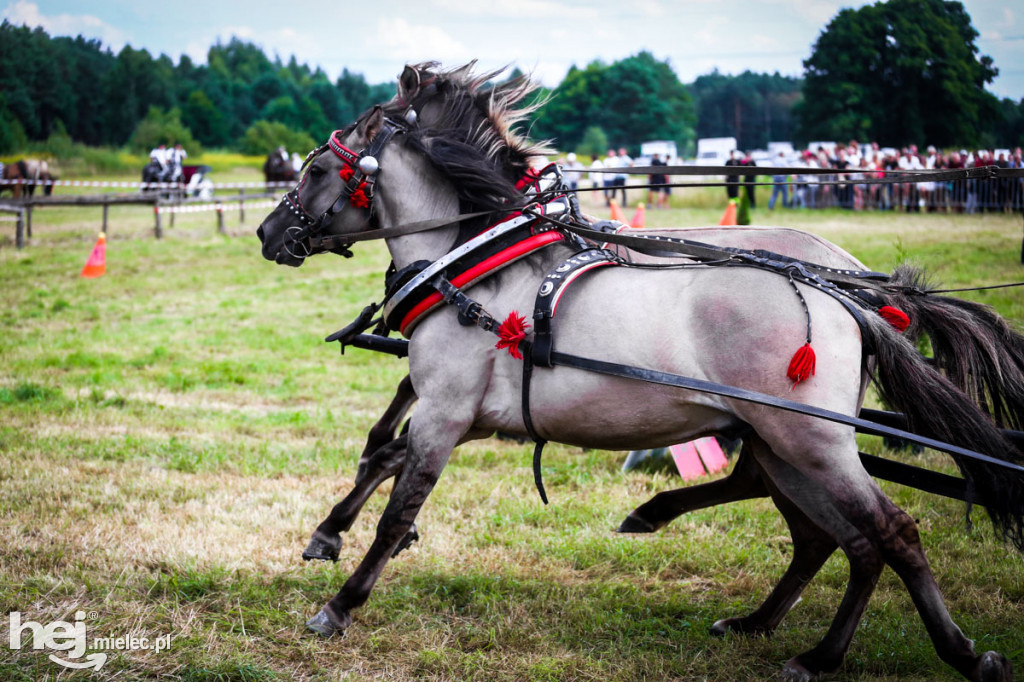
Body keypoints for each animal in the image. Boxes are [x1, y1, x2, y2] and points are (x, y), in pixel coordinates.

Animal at [258, 61, 1024, 675]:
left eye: (317, 171)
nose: (268, 232)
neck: (476, 270)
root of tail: (844, 297)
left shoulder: (446, 413)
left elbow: (398, 502)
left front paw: (340, 603)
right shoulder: (475, 414)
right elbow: (385, 456)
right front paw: (331, 534)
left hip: (811, 440)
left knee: (889, 533)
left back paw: (939, 652)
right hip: (786, 443)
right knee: (836, 539)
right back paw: (781, 633)